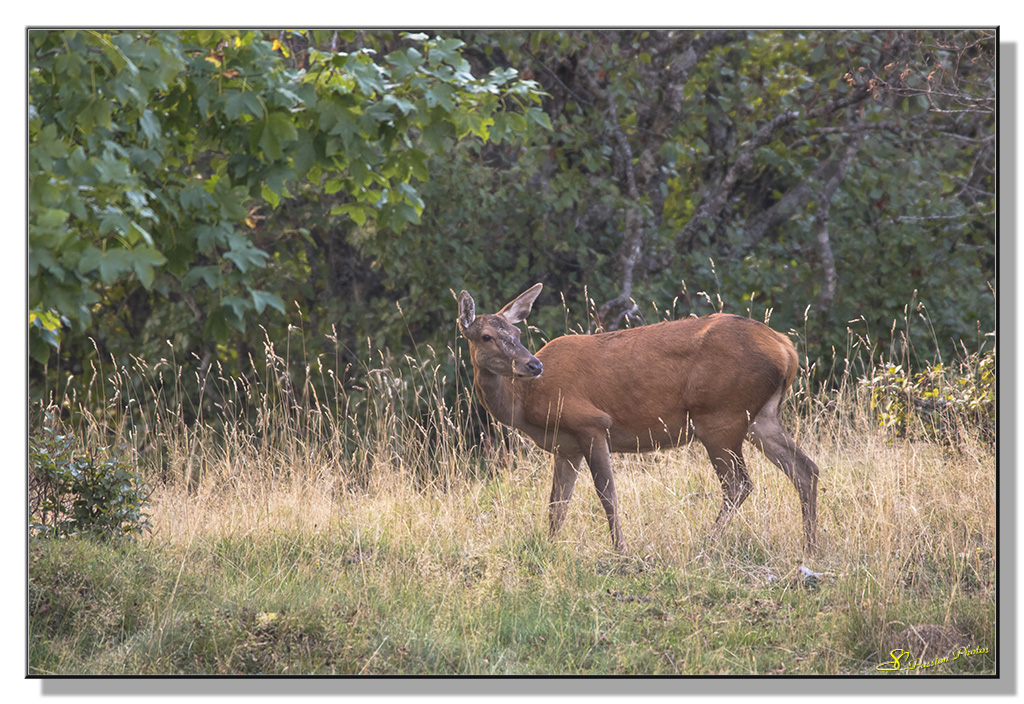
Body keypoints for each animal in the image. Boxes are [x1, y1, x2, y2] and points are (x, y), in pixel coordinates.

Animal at [460, 282, 819, 552]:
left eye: (517, 334)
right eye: (487, 336)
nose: (533, 365)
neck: (526, 404)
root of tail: (787, 350)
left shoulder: (591, 423)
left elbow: (607, 495)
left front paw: (621, 549)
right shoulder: (565, 447)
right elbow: (557, 505)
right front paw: (549, 548)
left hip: (720, 415)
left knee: (738, 483)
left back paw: (706, 544)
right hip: (761, 417)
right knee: (806, 469)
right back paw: (811, 547)